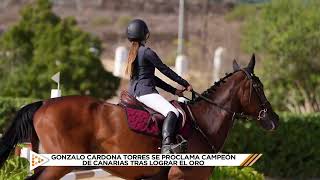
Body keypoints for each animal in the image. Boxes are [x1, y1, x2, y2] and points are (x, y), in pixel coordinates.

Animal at [0, 54, 278, 179]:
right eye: (259, 86)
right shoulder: (184, 176)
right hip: (61, 163)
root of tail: (43, 103)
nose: (274, 120)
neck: (203, 124)